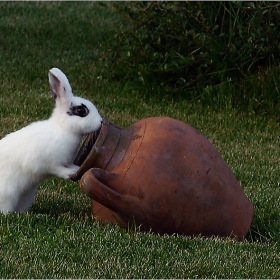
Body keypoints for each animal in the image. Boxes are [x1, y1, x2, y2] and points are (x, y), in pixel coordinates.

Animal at [0, 68, 101, 214]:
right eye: (81, 110)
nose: (101, 122)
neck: (63, 128)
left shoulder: (66, 161)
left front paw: (76, 169)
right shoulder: (47, 164)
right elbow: (57, 170)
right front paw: (69, 174)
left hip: (26, 195)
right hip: (8, 196)